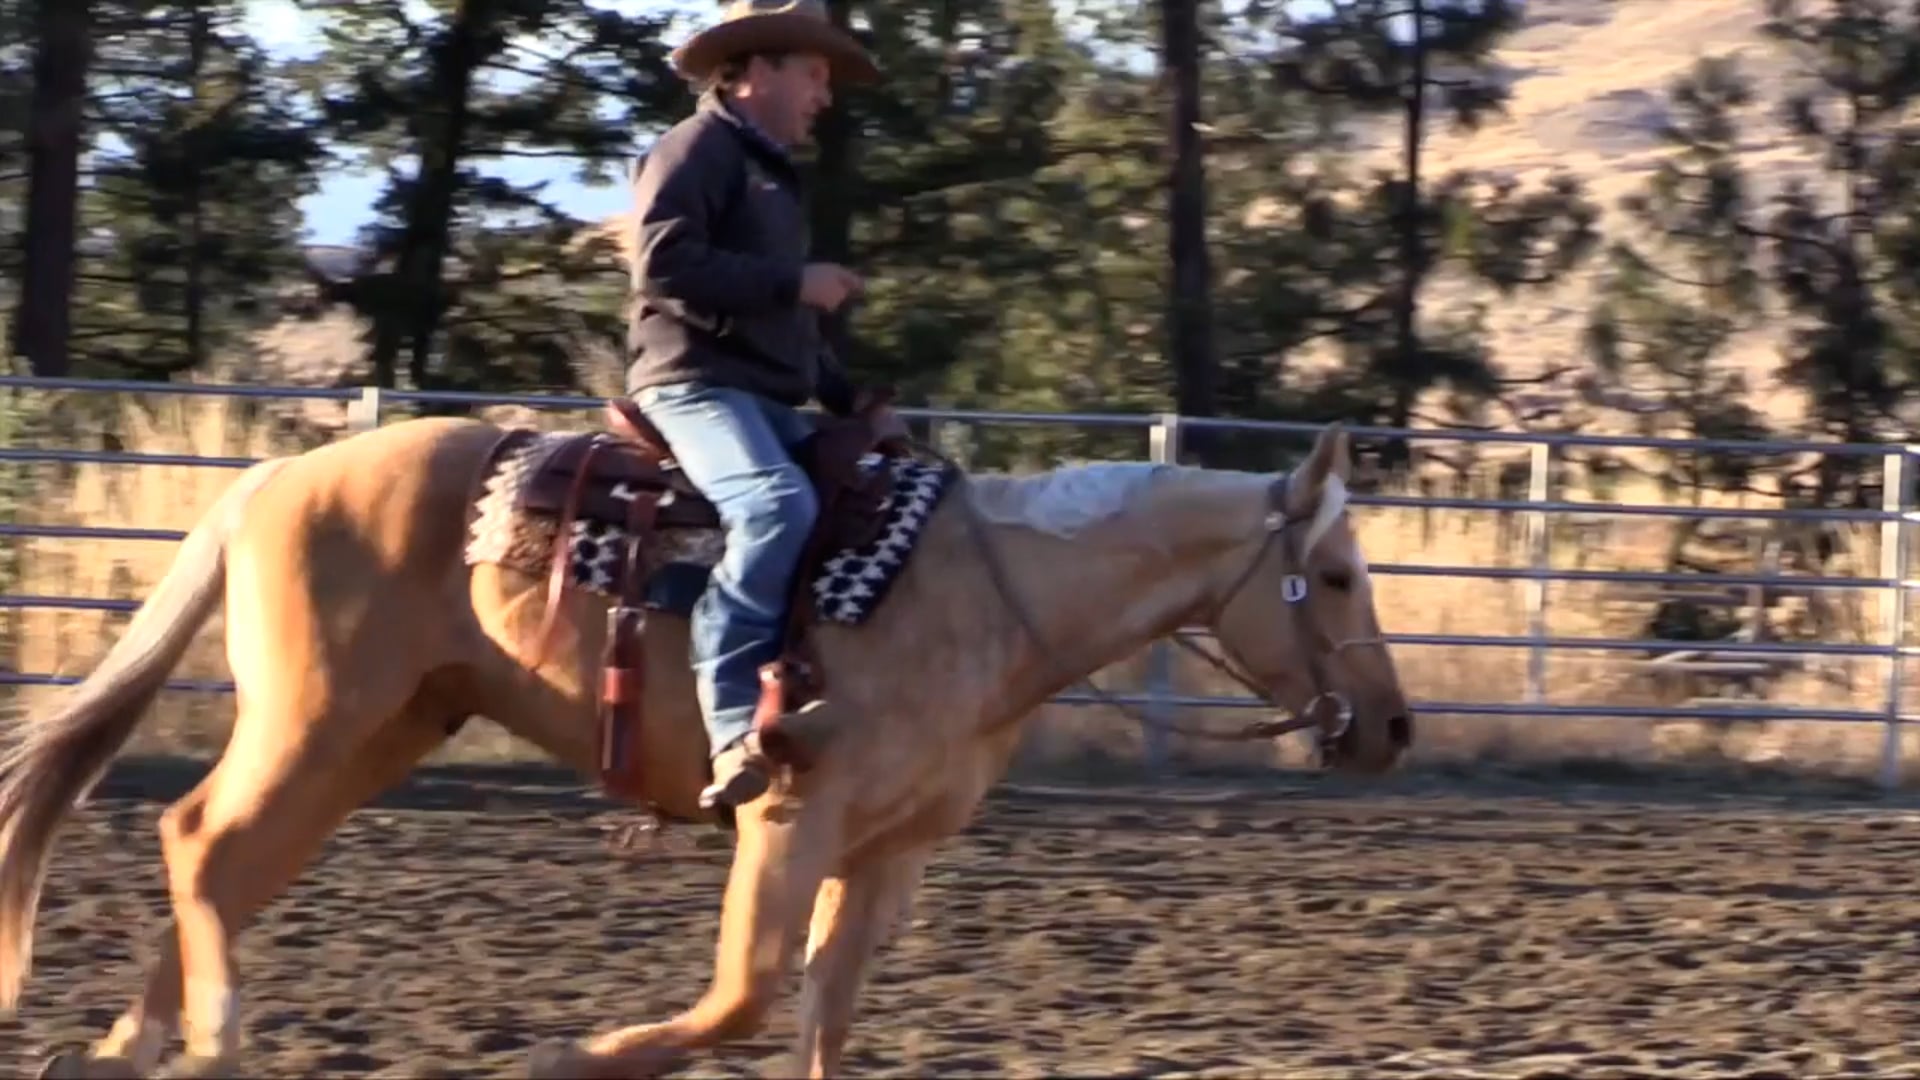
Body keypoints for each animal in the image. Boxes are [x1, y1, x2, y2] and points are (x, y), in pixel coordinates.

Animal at [0, 408, 1413, 1079]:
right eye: (1341, 574)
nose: (1394, 728)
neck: (980, 591)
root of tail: (268, 480)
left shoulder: (891, 854)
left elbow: (826, 1016)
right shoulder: (790, 816)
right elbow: (744, 996)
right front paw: (563, 1057)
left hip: (378, 729)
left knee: (231, 865)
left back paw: (125, 1054)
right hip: (315, 716)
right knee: (198, 839)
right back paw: (211, 1040)